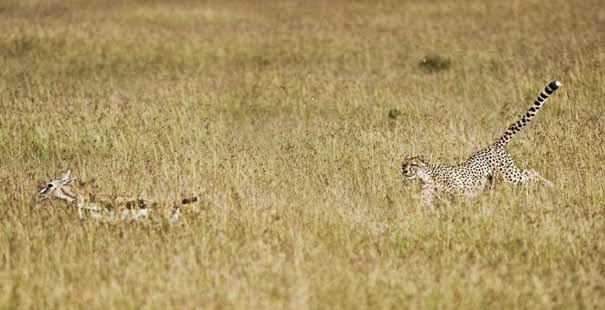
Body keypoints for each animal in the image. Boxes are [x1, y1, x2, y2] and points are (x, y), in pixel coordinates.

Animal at [402, 81, 560, 205]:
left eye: (413, 164)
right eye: (404, 164)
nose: (404, 170)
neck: (425, 175)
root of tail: (494, 144)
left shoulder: (459, 189)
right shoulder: (428, 195)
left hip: (509, 175)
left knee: (530, 172)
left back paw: (550, 185)